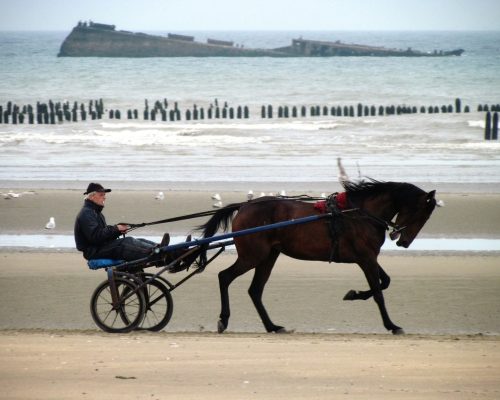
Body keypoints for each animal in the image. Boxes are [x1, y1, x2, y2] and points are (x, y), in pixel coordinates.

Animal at [198, 180, 438, 334]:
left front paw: (354, 294)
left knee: (255, 290)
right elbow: (379, 292)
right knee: (224, 277)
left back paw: (273, 326)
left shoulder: (368, 257)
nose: (404, 241)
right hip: (253, 255)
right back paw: (224, 319)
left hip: (269, 256)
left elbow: (385, 281)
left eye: (426, 217)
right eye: (421, 213)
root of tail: (245, 205)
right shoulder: (366, 258)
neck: (359, 214)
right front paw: (392, 325)